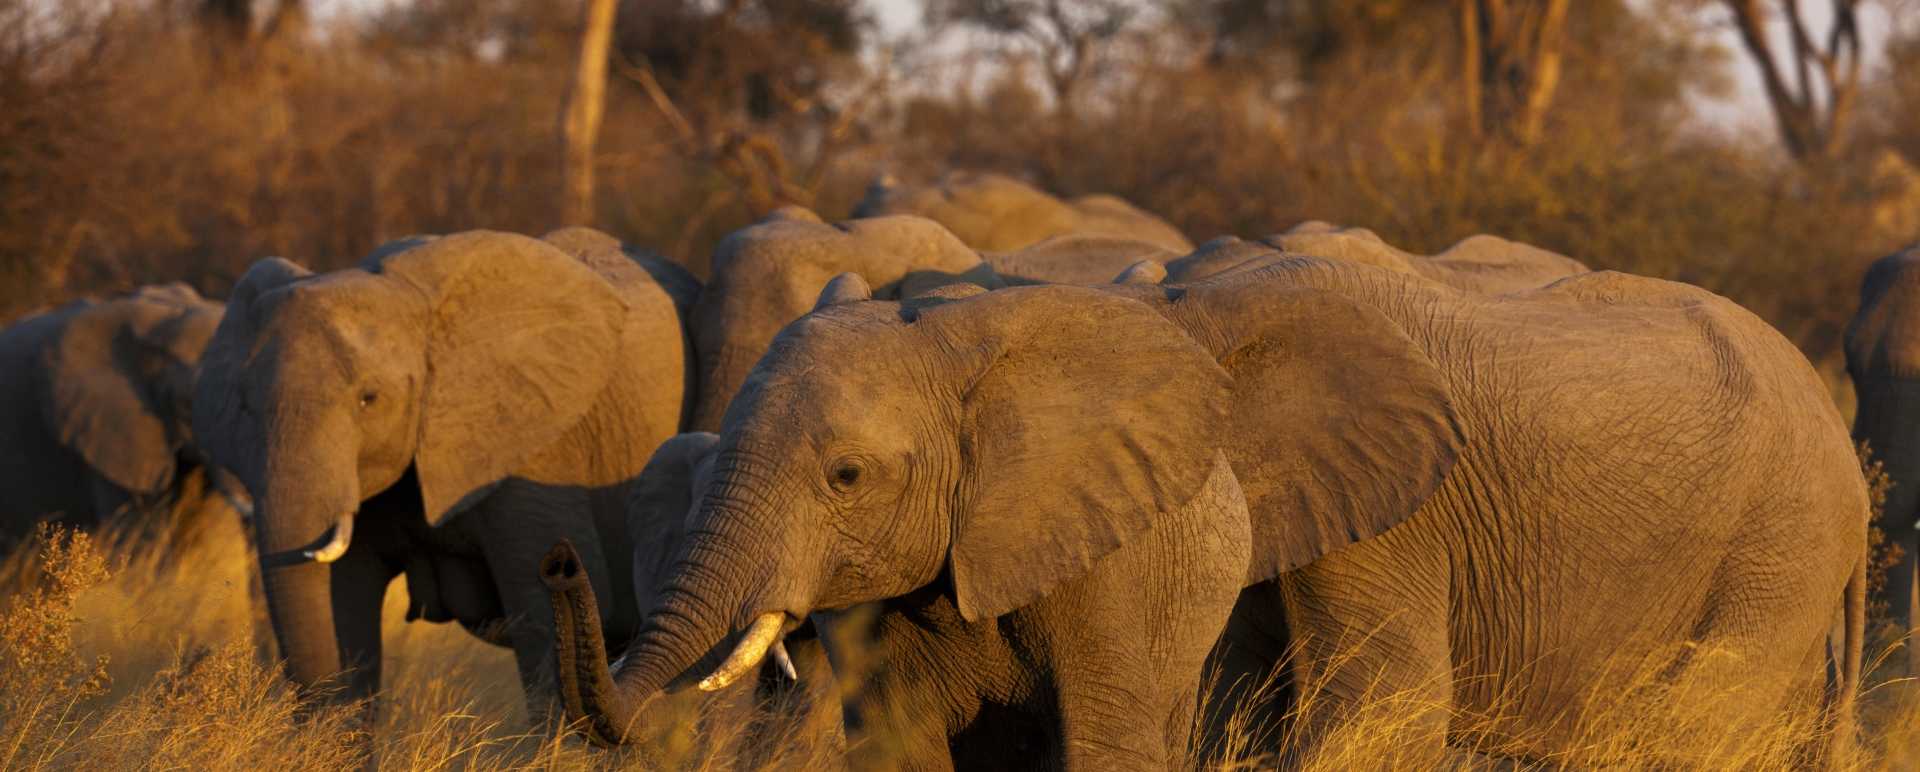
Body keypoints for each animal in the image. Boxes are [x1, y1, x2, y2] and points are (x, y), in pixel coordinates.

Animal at [1112, 257, 1863, 760]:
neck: (1220, 294)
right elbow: (1229, 698)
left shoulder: (1400, 515)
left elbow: (1384, 702)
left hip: (1780, 548)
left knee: (1692, 724)